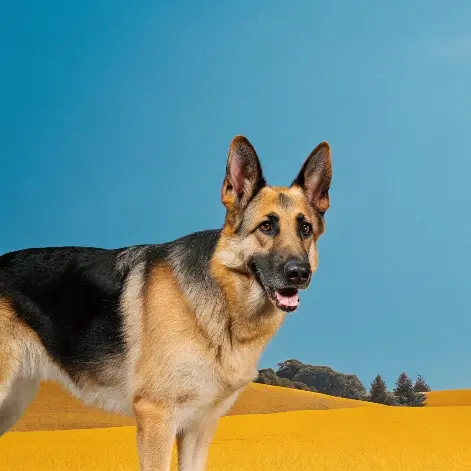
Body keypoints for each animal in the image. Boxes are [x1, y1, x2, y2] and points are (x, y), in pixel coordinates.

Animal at [0, 135, 332, 470]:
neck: (223, 303)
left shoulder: (199, 426)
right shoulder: (156, 417)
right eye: (266, 226)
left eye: (305, 229)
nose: (299, 274)